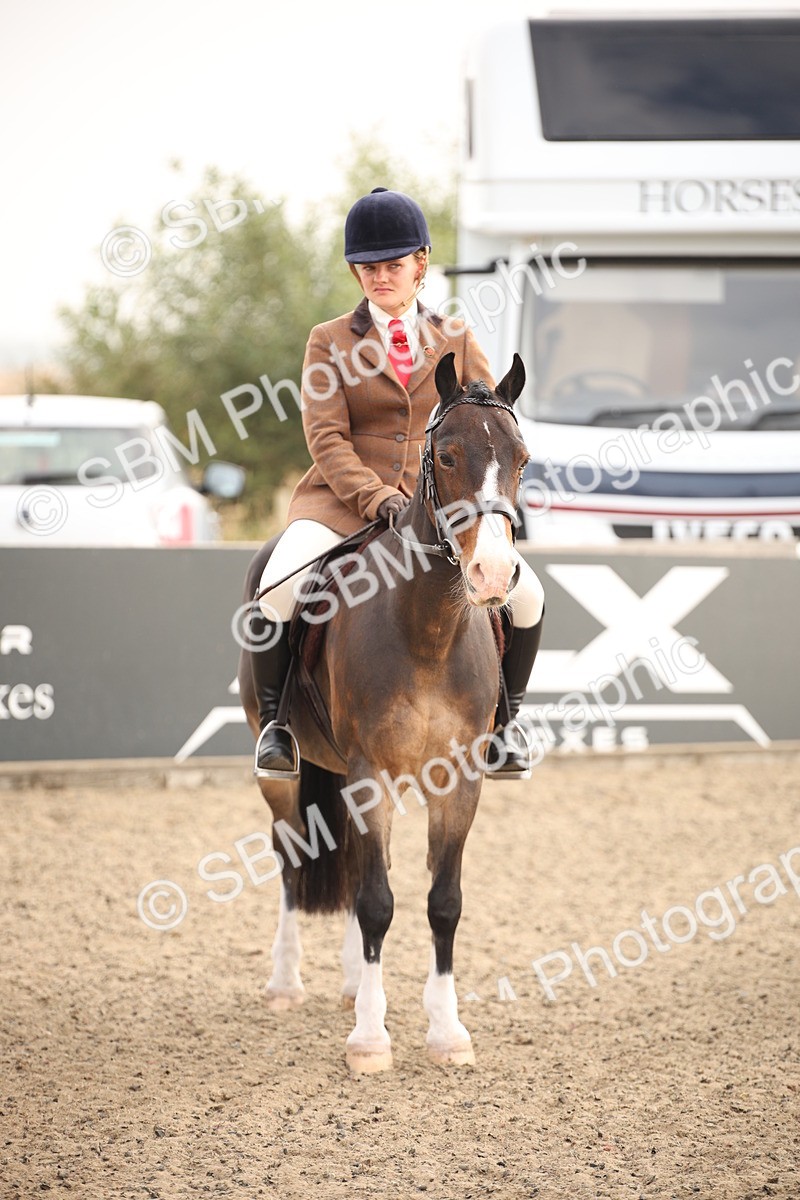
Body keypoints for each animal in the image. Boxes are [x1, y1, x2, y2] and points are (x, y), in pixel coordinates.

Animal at [237, 351, 530, 1073]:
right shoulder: (370, 773)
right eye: (446, 456)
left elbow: (442, 902)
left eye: (522, 459)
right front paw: (371, 1039)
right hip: (282, 774)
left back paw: (348, 983)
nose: (493, 574)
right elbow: (375, 902)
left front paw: (446, 1030)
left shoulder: (458, 779)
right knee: (292, 859)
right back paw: (286, 983)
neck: (426, 627)